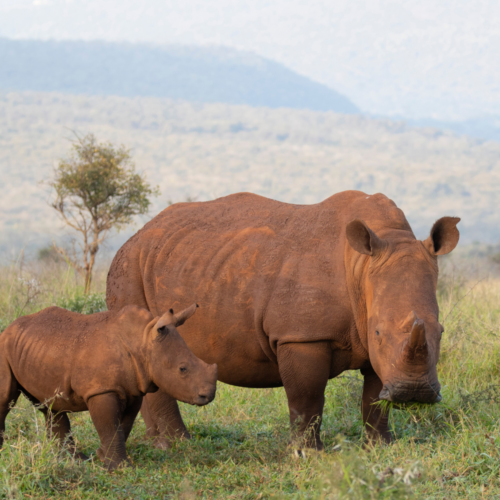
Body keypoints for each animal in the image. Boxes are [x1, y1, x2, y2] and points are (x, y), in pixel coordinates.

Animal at [0, 302, 216, 470]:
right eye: (183, 369)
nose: (209, 395)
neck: (143, 341)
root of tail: (9, 328)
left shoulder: (133, 389)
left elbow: (123, 424)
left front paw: (102, 456)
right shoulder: (101, 390)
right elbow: (110, 425)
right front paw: (119, 468)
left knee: (51, 407)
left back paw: (73, 460)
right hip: (4, 346)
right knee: (6, 401)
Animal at [106, 191, 460, 450]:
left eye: (441, 332)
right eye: (378, 333)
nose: (414, 393)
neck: (362, 266)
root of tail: (133, 237)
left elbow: (375, 399)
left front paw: (381, 447)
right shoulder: (301, 334)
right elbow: (307, 397)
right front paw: (308, 453)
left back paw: (163, 442)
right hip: (128, 267)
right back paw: (176, 444)